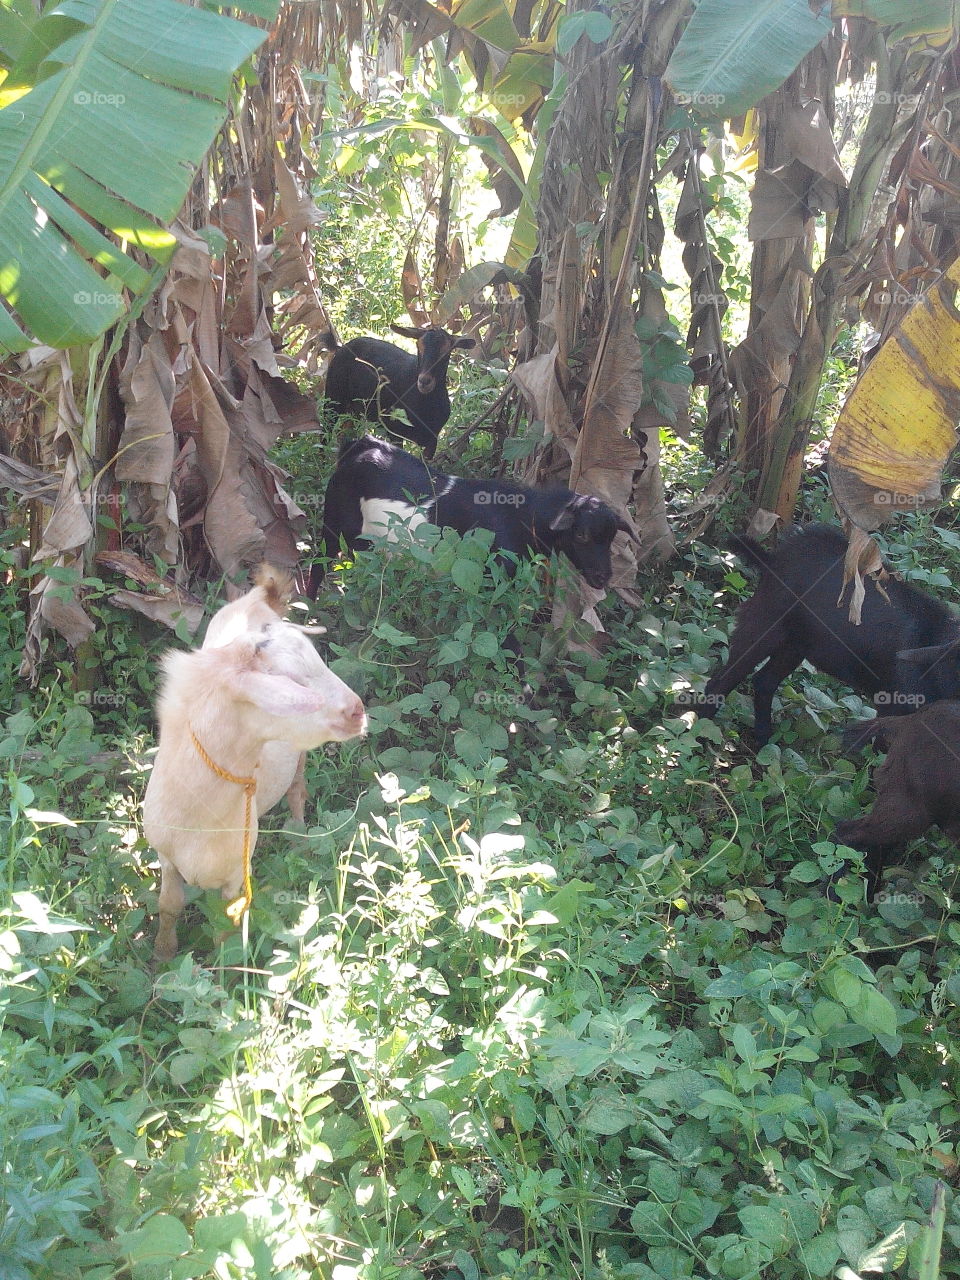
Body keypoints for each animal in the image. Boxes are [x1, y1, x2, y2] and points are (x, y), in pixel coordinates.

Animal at [143, 567, 366, 960]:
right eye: (290, 681)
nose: (357, 710)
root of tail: (258, 597)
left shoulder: (235, 874)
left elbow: (224, 931)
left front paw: (222, 971)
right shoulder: (166, 857)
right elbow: (169, 906)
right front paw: (163, 955)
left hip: (298, 757)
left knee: (297, 791)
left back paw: (298, 838)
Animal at [312, 434, 640, 596]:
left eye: (611, 537)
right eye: (581, 534)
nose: (603, 578)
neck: (522, 513)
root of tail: (361, 446)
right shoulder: (493, 576)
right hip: (333, 523)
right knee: (318, 565)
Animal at [323, 325, 476, 458]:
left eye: (447, 350)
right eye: (418, 346)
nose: (424, 381)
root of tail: (343, 346)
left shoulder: (432, 440)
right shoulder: (394, 432)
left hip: (355, 408)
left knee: (345, 433)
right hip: (333, 397)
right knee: (325, 431)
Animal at [695, 523, 960, 745]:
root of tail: (773, 560)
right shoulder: (896, 708)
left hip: (795, 646)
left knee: (764, 681)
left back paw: (764, 741)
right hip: (763, 627)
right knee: (723, 680)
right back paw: (702, 730)